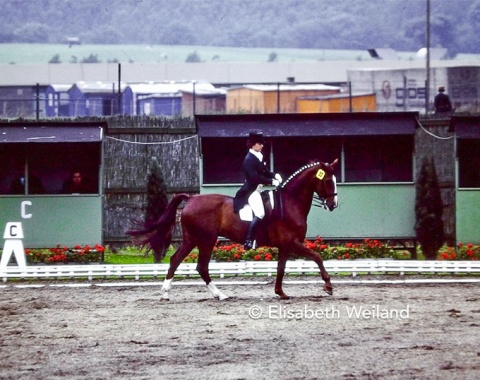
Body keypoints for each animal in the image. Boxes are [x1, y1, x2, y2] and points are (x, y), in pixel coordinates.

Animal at [127, 159, 338, 302]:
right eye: (328, 181)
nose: (333, 205)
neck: (290, 201)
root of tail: (192, 198)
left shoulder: (285, 246)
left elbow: (281, 268)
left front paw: (281, 293)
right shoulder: (293, 243)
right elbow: (318, 257)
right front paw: (328, 286)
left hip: (192, 240)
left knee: (176, 260)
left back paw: (166, 294)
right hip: (206, 240)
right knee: (201, 266)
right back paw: (219, 294)